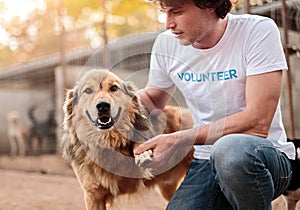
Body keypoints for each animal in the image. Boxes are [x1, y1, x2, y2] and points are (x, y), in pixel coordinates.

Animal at [60, 69, 195, 210]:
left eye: (114, 88)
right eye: (88, 90)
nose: (103, 106)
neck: (110, 142)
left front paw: (142, 154)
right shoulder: (93, 195)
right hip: (167, 189)